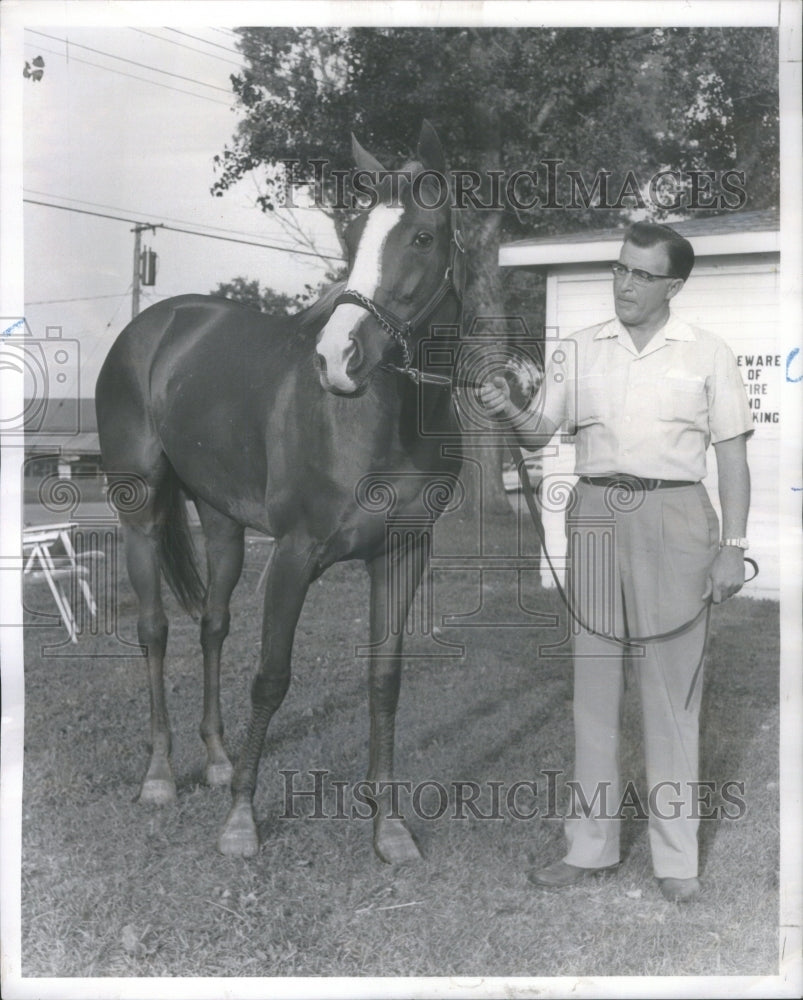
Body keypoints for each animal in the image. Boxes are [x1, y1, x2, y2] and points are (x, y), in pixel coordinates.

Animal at [96, 121, 464, 864]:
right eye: (351, 236)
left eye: (421, 237)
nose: (337, 359)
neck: (385, 418)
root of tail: (154, 328)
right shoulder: (295, 555)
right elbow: (271, 676)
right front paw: (241, 820)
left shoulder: (403, 553)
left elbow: (385, 681)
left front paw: (389, 827)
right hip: (139, 509)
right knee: (154, 630)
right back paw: (160, 776)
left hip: (221, 521)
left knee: (211, 625)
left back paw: (215, 759)